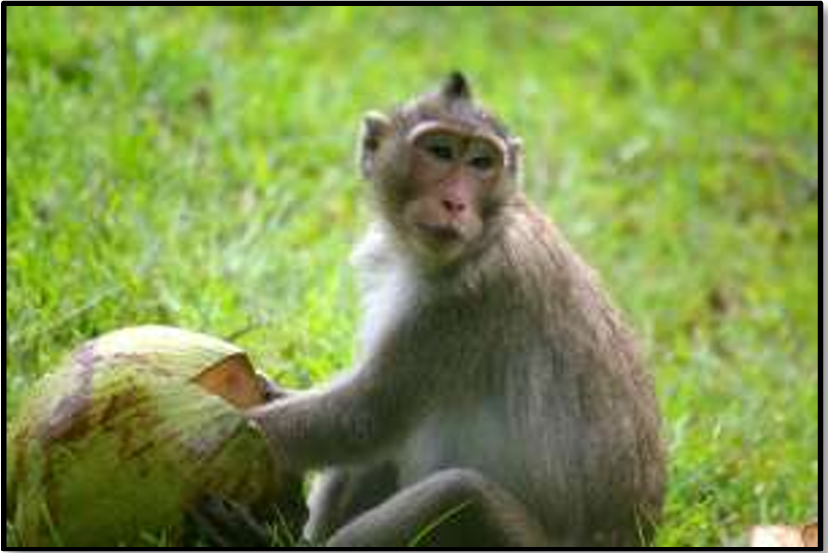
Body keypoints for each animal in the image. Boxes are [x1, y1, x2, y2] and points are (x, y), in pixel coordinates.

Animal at [192, 71, 666, 547]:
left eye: (481, 162)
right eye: (439, 151)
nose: (454, 203)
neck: (484, 235)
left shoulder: (470, 300)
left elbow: (366, 413)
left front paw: (216, 435)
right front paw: (272, 391)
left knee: (460, 494)